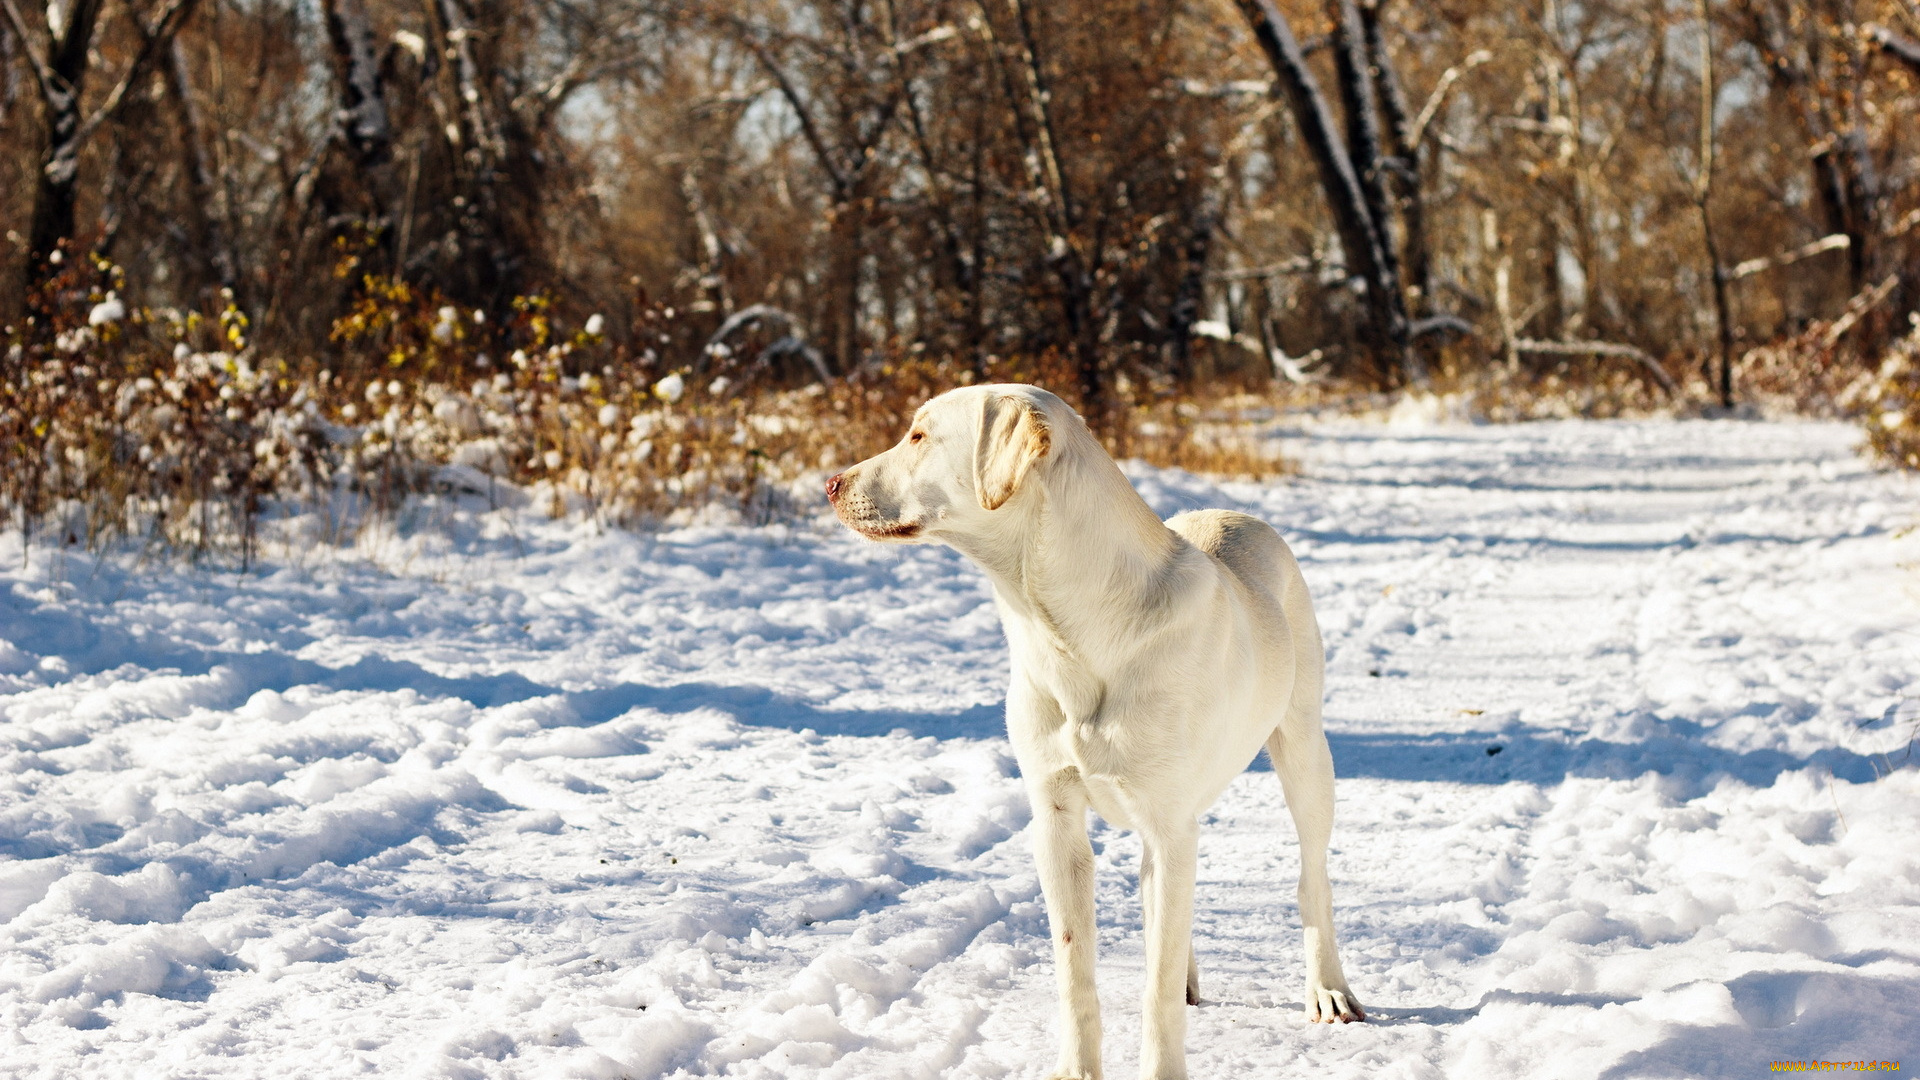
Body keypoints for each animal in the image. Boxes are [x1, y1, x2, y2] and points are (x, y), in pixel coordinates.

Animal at [825, 382, 1367, 1068]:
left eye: (919, 436)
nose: (830, 483)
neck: (1065, 628)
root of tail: (1234, 512)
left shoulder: (1169, 820)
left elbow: (1156, 996)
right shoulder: (1057, 821)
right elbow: (1076, 971)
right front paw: (1077, 1070)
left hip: (1303, 754)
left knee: (1310, 878)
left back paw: (1328, 988)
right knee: (1159, 897)